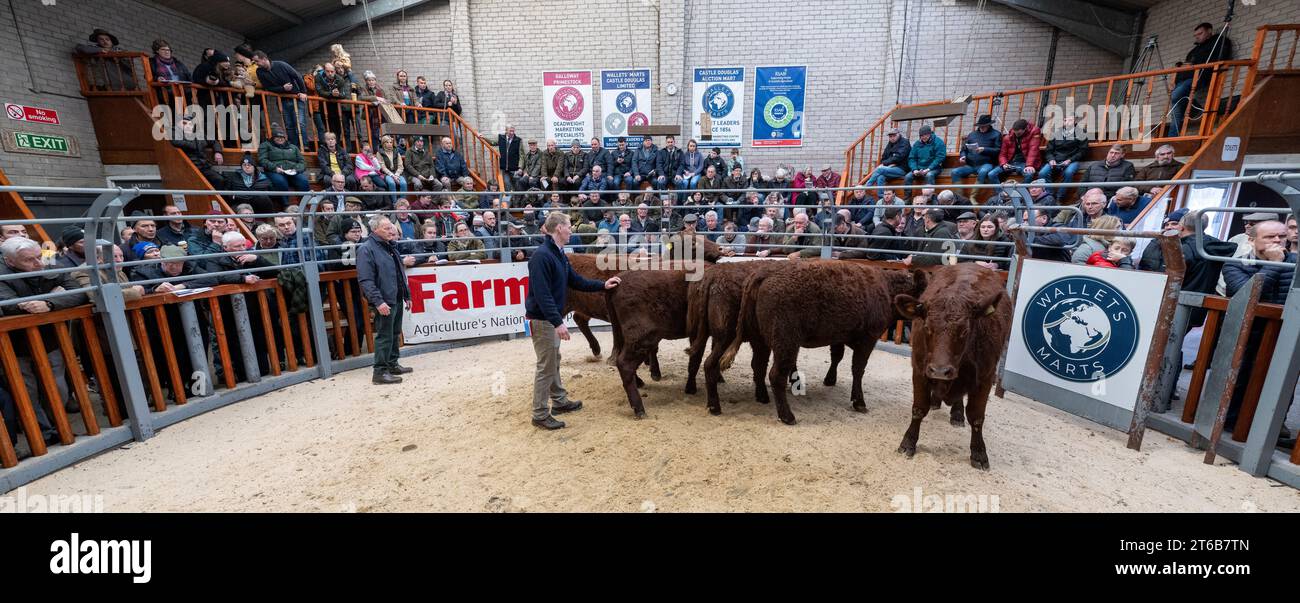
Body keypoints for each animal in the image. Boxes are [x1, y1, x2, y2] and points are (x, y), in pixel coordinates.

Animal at [717, 262, 920, 423]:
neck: (886, 287)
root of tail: (764, 273)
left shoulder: (838, 336)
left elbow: (837, 356)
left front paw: (830, 379)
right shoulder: (867, 339)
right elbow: (858, 369)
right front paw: (859, 402)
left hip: (760, 340)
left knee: (759, 366)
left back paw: (764, 398)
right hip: (785, 341)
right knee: (776, 374)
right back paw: (787, 416)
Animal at [894, 265, 1013, 470]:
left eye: (964, 330)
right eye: (927, 328)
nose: (940, 371)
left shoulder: (986, 377)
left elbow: (977, 417)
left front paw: (979, 453)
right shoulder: (919, 369)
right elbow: (918, 409)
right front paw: (908, 442)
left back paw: (957, 414)